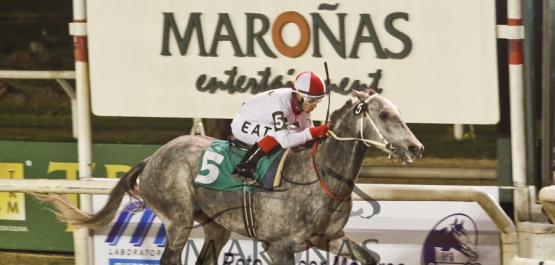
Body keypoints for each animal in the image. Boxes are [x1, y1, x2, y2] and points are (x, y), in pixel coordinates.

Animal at [39, 89, 424, 264]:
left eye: (399, 112)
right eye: (384, 115)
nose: (416, 147)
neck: (319, 178)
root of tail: (151, 158)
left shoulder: (329, 238)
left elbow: (371, 257)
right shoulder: (280, 246)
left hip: (216, 226)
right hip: (178, 220)